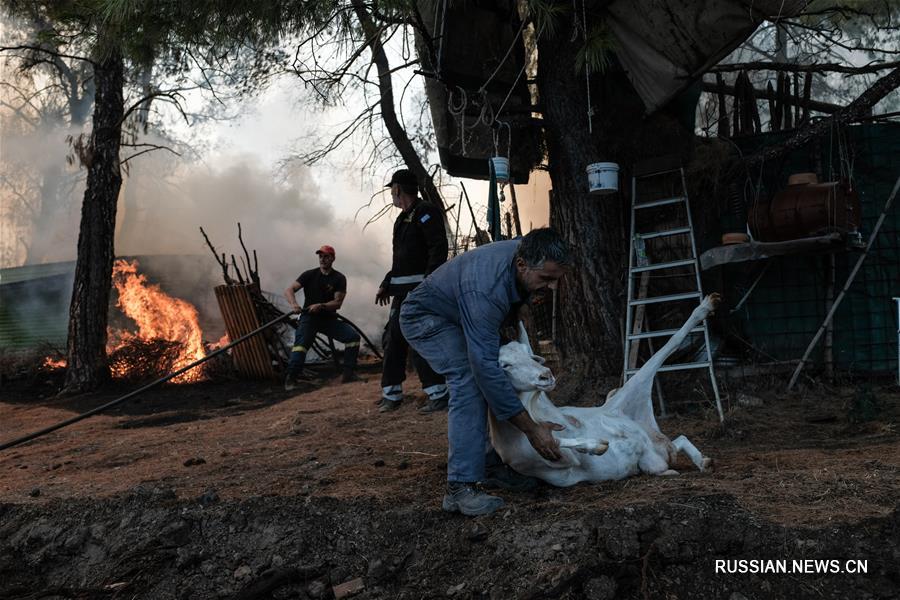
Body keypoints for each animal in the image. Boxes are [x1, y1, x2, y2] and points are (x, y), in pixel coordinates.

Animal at [488, 292, 720, 486]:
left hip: (627, 399)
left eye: (528, 355)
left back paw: (706, 306)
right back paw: (696, 463)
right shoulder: (549, 461)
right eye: (504, 365)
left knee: (668, 346)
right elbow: (555, 440)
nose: (546, 375)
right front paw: (597, 445)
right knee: (673, 445)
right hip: (653, 455)